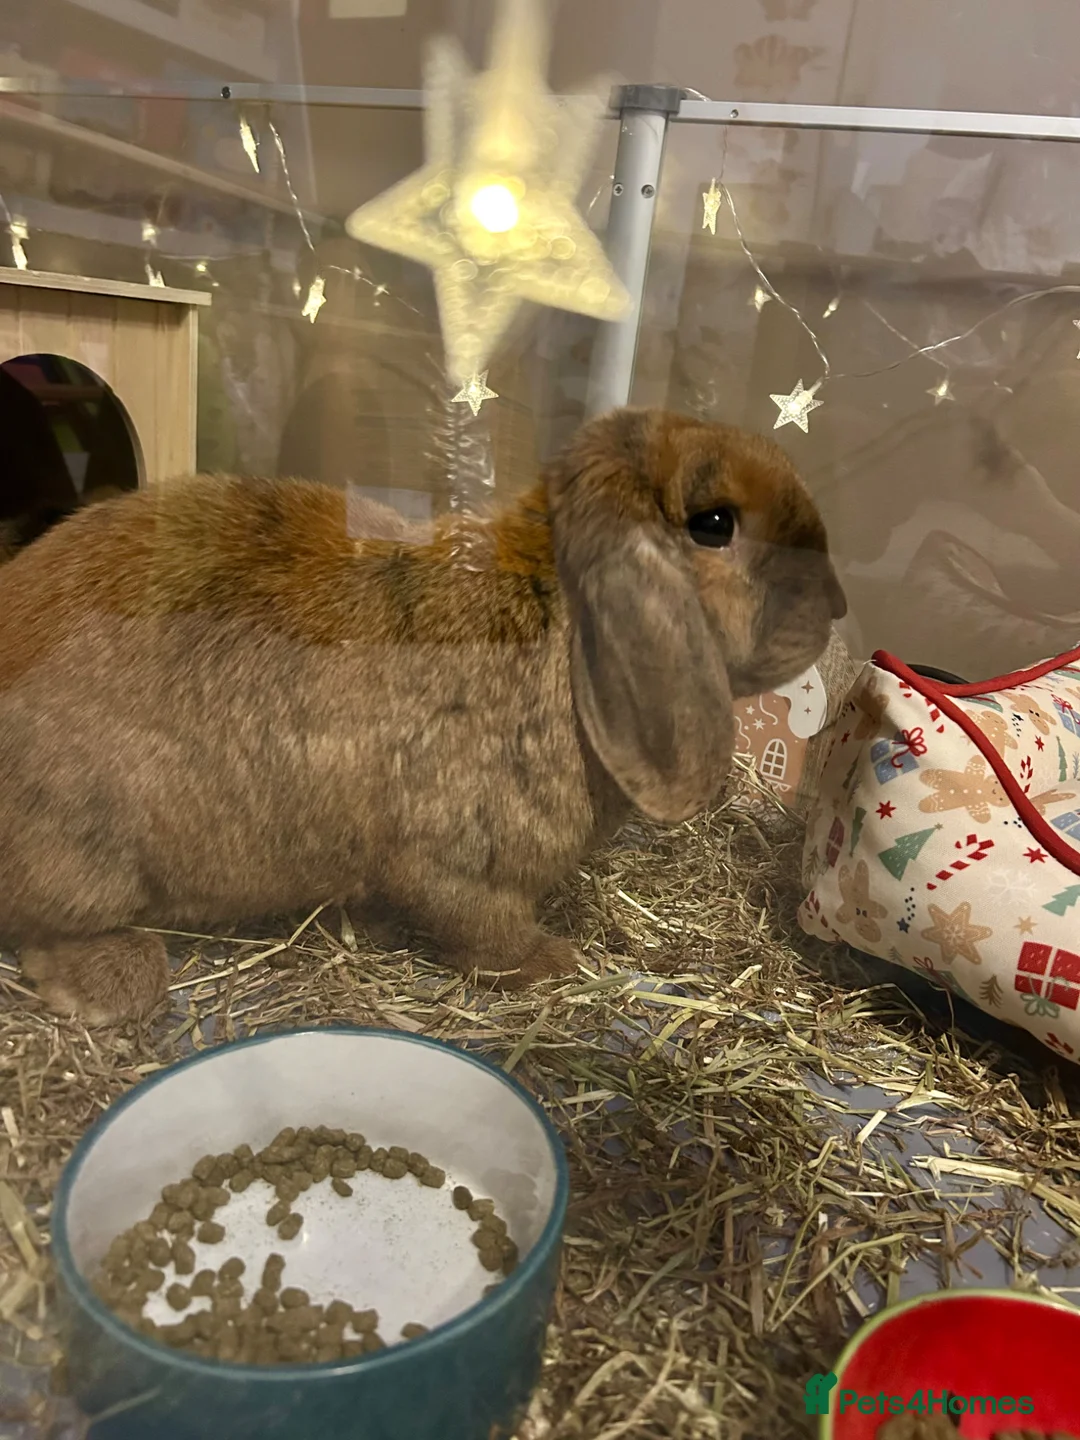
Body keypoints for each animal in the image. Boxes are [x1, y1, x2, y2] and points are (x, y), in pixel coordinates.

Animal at [0, 406, 845, 1026]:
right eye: (715, 525)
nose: (837, 605)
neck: (561, 619)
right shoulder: (457, 860)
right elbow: (481, 921)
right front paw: (551, 963)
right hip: (90, 851)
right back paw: (112, 983)